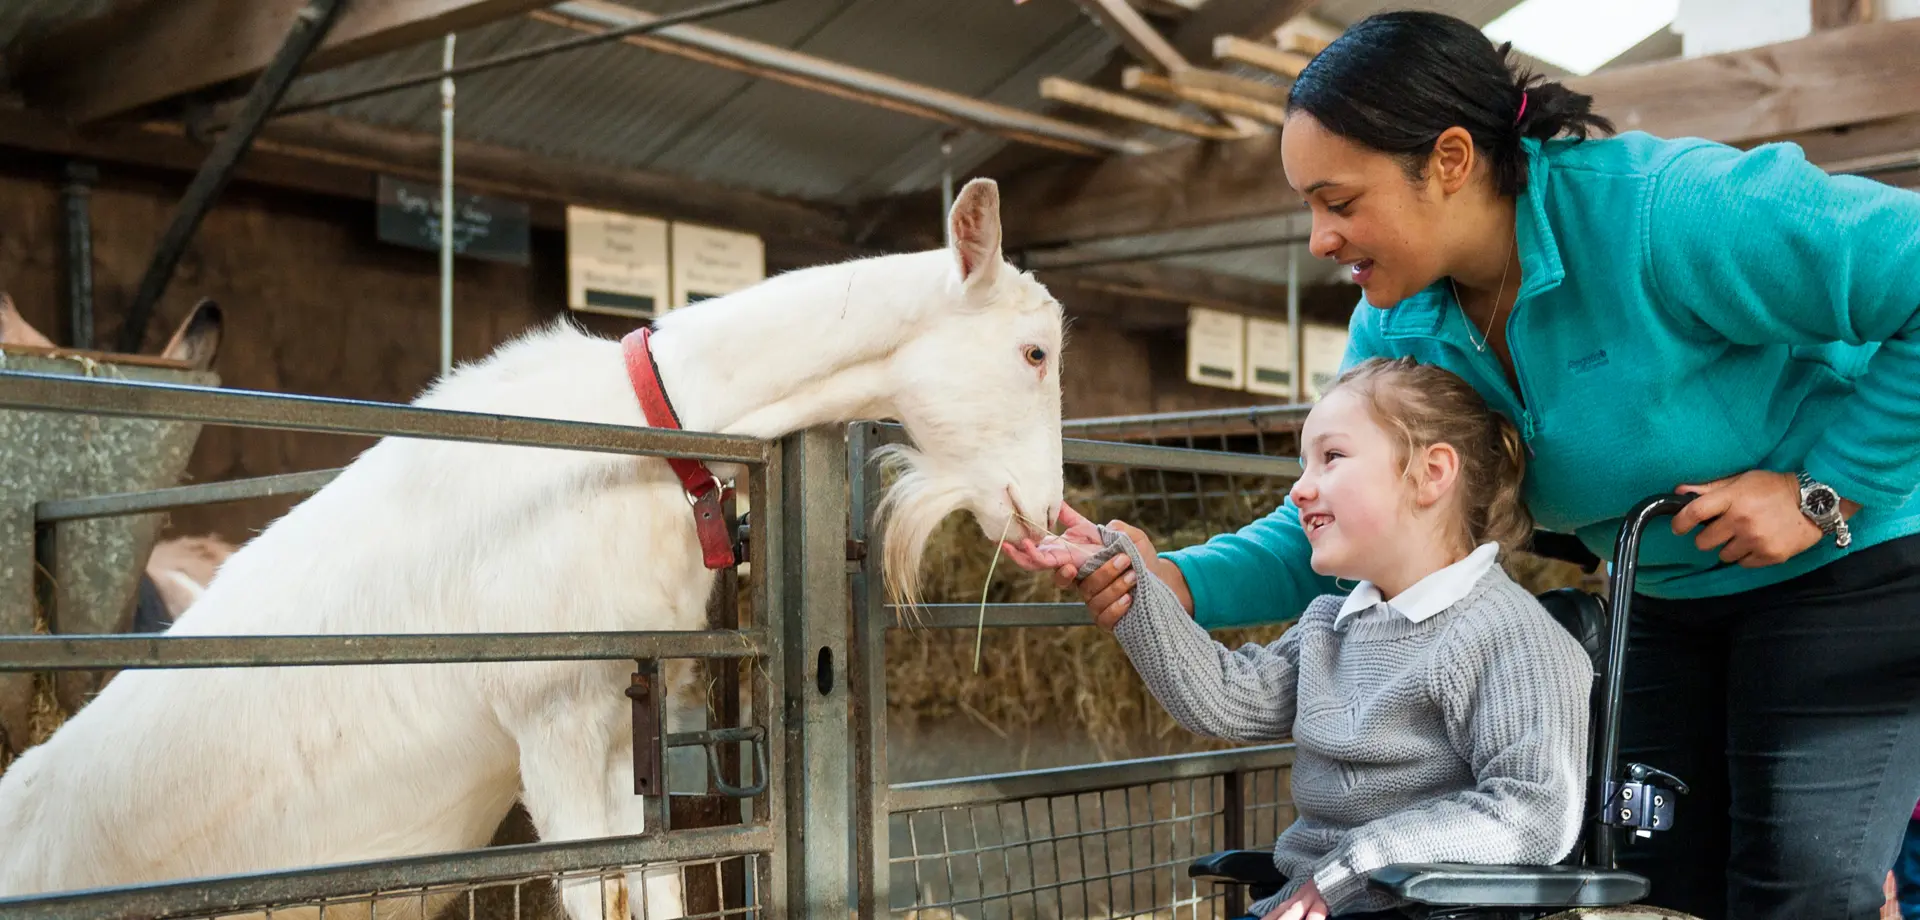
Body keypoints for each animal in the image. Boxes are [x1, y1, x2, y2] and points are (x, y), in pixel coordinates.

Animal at [0, 176, 1067, 918]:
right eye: (1036, 352)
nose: (1049, 517)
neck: (635, 440)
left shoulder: (628, 714)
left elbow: (656, 884)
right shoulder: (551, 712)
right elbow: (601, 893)